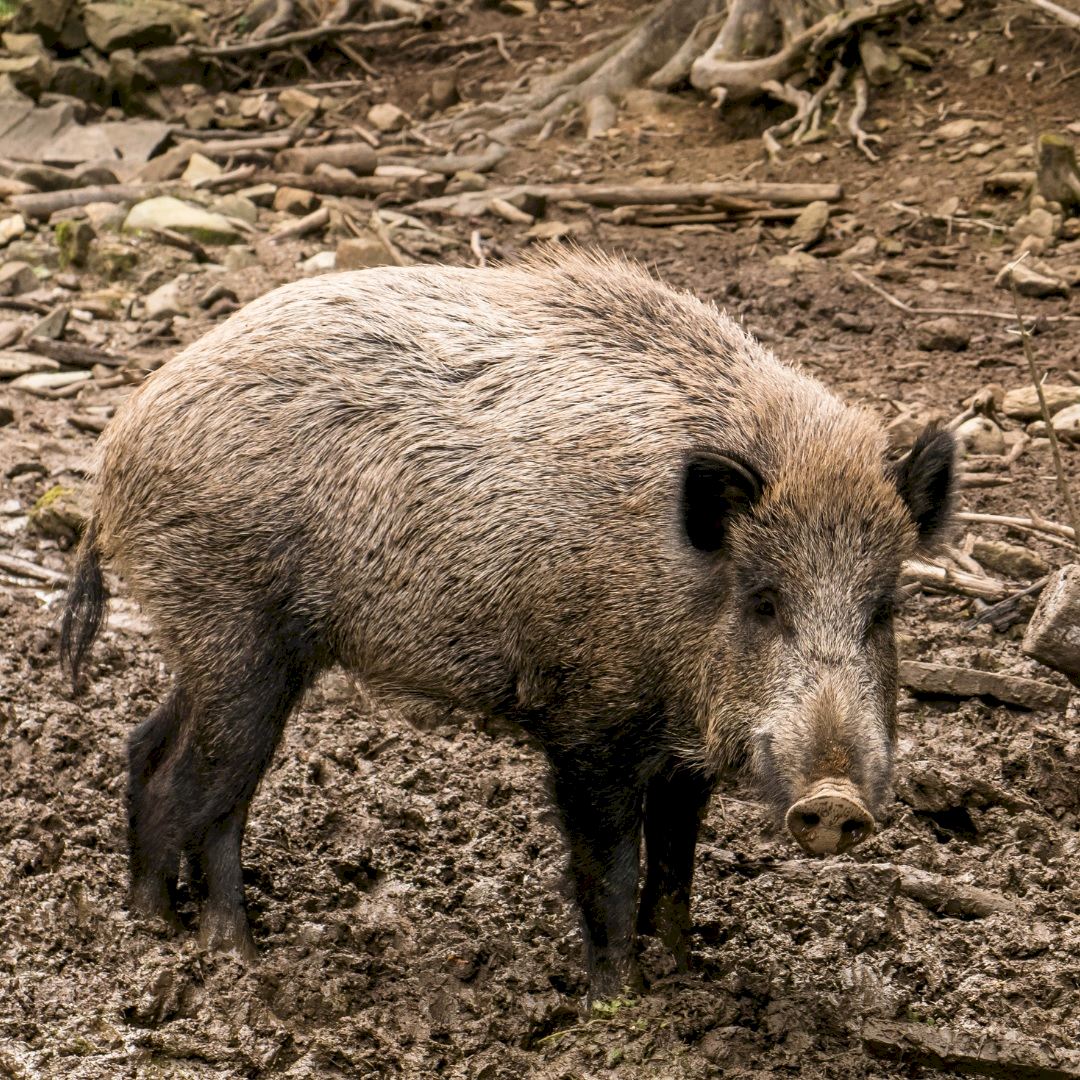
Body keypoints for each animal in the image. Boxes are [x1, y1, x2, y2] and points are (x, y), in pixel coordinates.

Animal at [61, 250, 955, 1001]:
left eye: (883, 610)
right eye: (765, 601)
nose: (835, 801)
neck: (678, 584)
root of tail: (118, 446)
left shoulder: (682, 754)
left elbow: (676, 867)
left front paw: (688, 975)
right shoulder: (588, 727)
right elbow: (610, 869)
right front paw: (618, 1005)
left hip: (235, 645)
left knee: (157, 751)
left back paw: (200, 935)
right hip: (236, 630)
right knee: (198, 783)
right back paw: (194, 944)